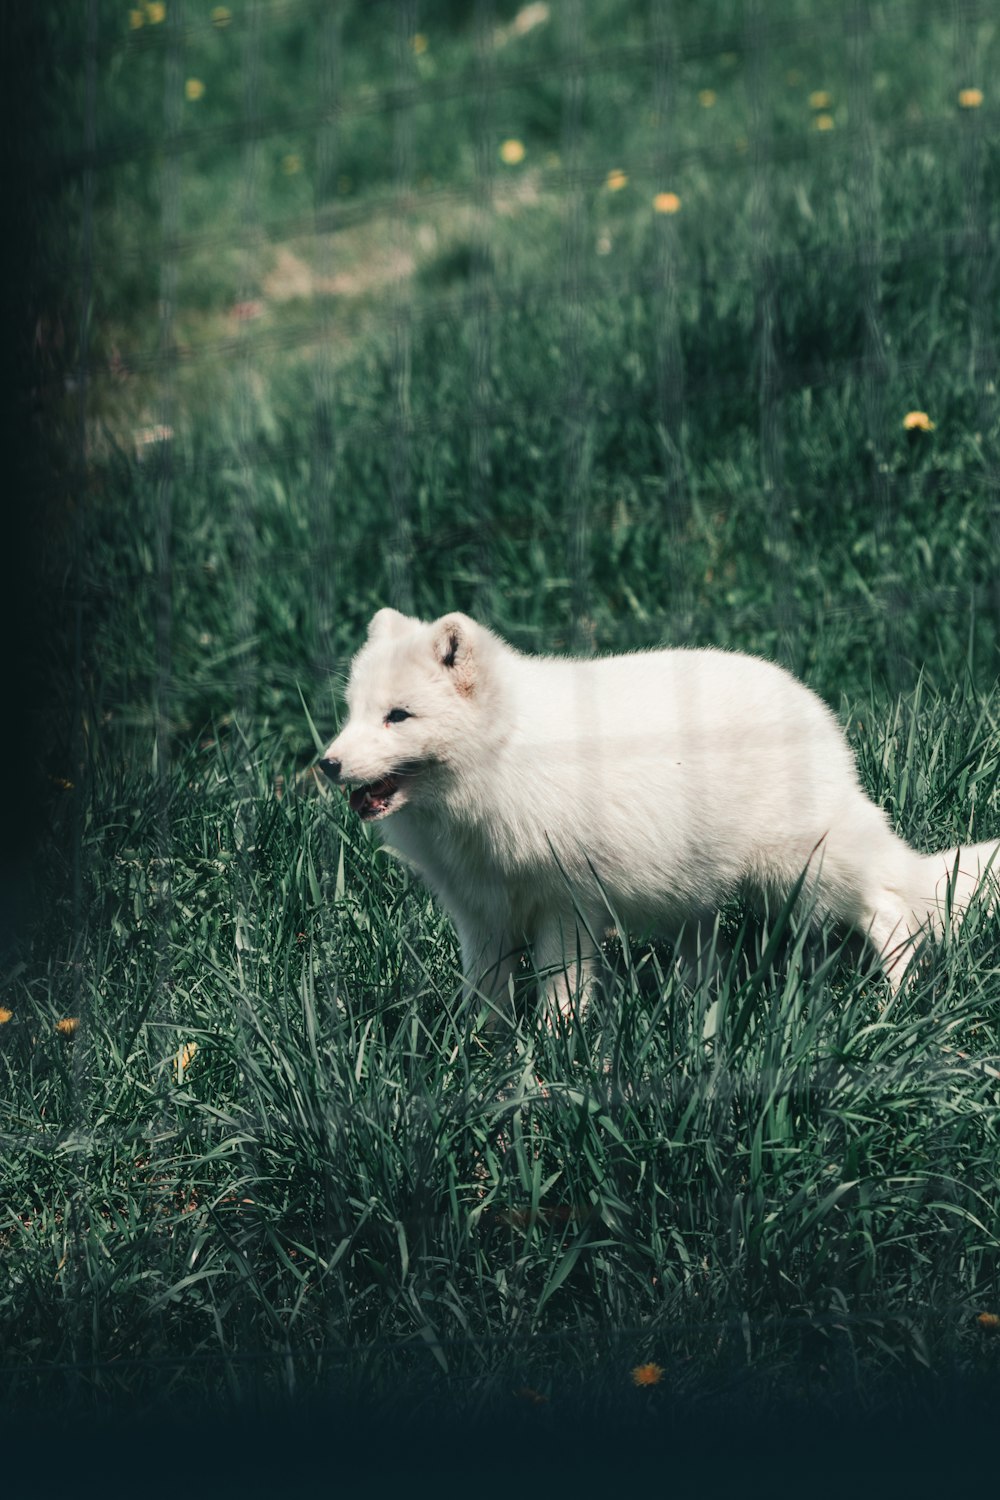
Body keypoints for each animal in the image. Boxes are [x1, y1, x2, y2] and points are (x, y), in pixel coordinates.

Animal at [322, 609, 1000, 1020]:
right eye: (353, 713)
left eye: (399, 716)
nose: (326, 765)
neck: (503, 759)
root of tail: (812, 707)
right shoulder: (480, 911)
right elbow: (485, 1000)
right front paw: (477, 1057)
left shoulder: (567, 905)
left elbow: (561, 998)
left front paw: (555, 1063)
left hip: (806, 870)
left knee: (893, 909)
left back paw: (892, 1005)